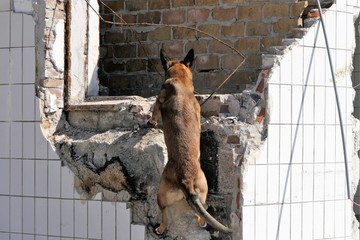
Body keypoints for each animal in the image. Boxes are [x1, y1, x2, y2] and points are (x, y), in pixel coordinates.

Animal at [148, 48, 232, 234]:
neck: (181, 79)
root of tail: (185, 180)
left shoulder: (159, 99)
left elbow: (155, 111)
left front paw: (150, 122)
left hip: (160, 195)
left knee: (164, 213)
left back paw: (161, 228)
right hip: (203, 192)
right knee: (199, 214)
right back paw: (202, 222)